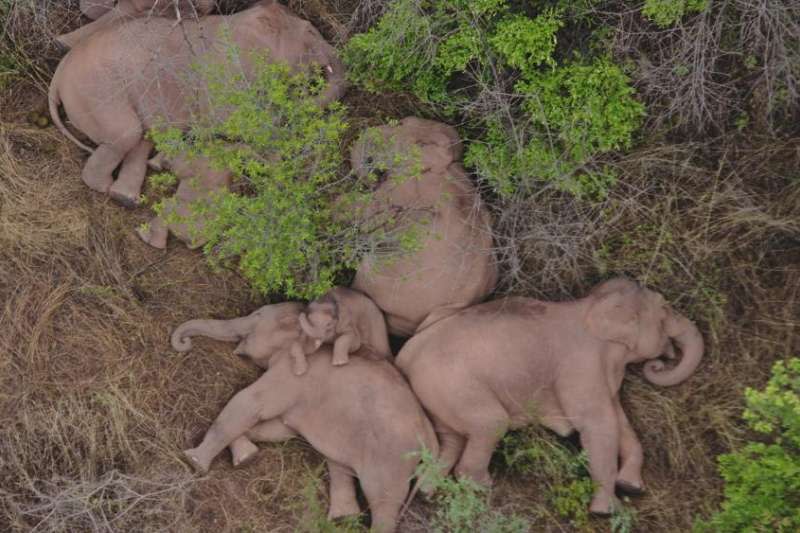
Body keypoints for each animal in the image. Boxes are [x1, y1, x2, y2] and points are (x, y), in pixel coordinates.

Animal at [171, 302, 434, 528]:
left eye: (257, 316)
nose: (185, 342)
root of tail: (430, 436)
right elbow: (276, 429)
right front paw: (247, 456)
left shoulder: (293, 374)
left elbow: (250, 403)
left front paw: (194, 461)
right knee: (340, 466)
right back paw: (342, 518)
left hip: (392, 459)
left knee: (383, 500)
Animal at [396, 278, 704, 516]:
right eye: (665, 309)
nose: (658, 364)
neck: (593, 303)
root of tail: (406, 354)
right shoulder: (581, 366)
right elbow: (598, 424)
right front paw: (607, 512)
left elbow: (620, 422)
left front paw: (631, 487)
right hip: (452, 384)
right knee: (491, 424)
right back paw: (482, 488)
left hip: (438, 394)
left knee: (452, 439)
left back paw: (428, 492)